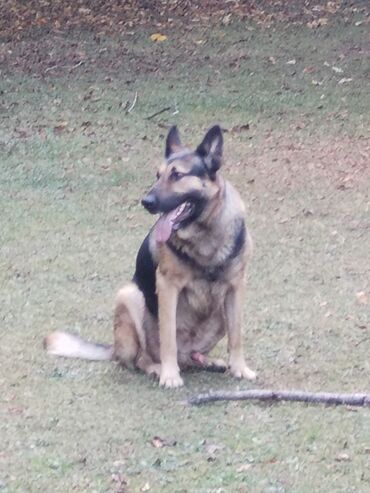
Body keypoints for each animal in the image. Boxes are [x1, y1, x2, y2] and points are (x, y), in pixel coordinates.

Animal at [44, 125, 256, 386]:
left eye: (177, 175)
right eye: (157, 175)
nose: (146, 202)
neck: (204, 235)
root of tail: (113, 348)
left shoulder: (236, 287)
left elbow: (237, 335)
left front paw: (240, 368)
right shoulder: (167, 286)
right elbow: (168, 338)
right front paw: (169, 375)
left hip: (219, 314)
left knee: (190, 355)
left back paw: (206, 361)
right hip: (129, 296)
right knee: (140, 359)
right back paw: (157, 367)